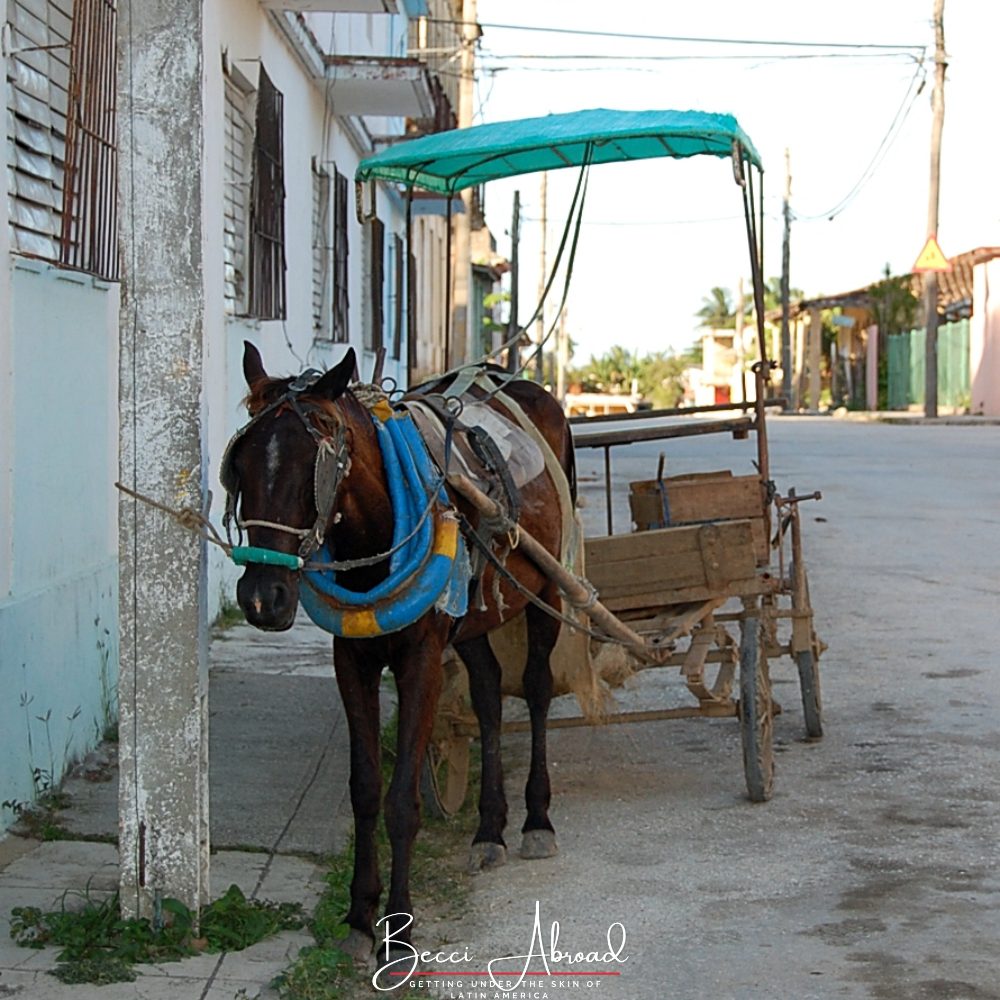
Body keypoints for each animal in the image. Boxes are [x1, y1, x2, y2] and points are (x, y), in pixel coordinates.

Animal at [223, 344, 576, 960]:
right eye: (240, 465)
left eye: (311, 468)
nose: (263, 597)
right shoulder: (351, 660)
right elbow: (366, 789)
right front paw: (359, 919)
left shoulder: (422, 662)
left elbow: (401, 799)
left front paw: (400, 928)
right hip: (473, 619)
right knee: (487, 694)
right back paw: (489, 829)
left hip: (546, 591)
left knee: (535, 690)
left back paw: (536, 820)